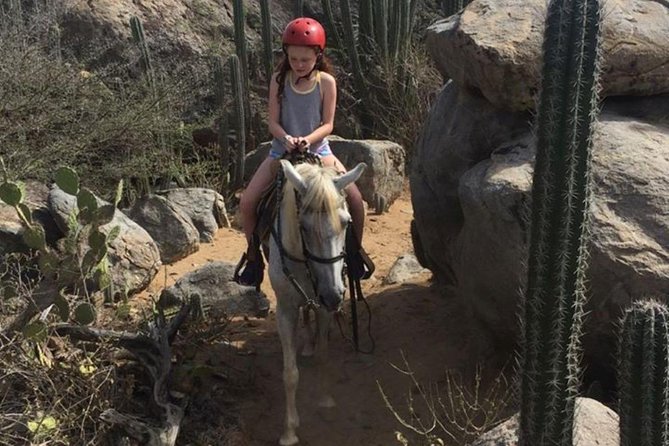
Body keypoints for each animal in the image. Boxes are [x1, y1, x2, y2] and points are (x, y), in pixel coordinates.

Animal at [266, 159, 366, 444]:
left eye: (347, 222)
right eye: (304, 226)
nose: (334, 295)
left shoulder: (323, 306)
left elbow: (324, 356)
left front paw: (325, 401)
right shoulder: (285, 310)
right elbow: (290, 373)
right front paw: (289, 431)